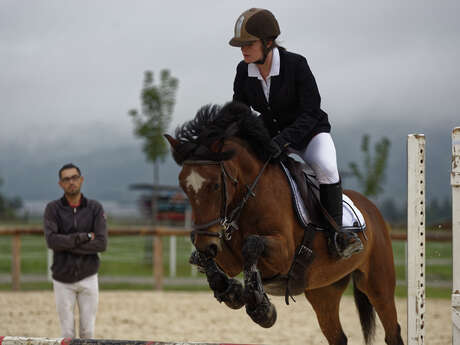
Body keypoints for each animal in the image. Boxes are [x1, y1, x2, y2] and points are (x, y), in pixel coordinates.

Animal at [164, 100, 402, 344]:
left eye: (215, 185)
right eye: (183, 186)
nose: (207, 244)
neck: (250, 197)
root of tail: (372, 208)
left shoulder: (284, 254)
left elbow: (251, 244)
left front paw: (261, 308)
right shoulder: (229, 259)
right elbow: (209, 260)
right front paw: (231, 292)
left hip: (378, 285)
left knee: (392, 330)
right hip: (323, 290)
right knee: (337, 336)